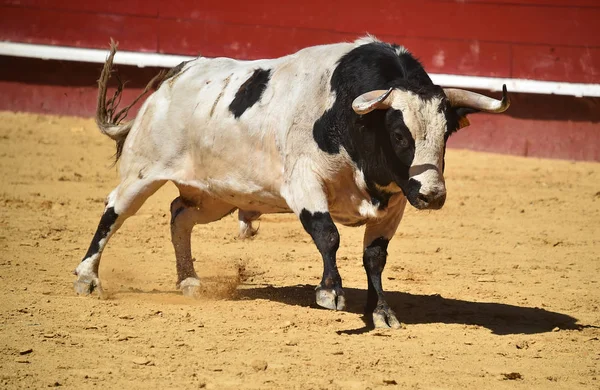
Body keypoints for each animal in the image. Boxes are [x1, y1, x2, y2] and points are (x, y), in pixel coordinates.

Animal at [72, 37, 508, 330]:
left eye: (447, 134)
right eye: (400, 136)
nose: (433, 195)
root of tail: (174, 77)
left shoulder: (394, 203)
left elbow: (375, 257)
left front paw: (381, 312)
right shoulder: (305, 183)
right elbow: (327, 234)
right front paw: (330, 292)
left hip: (216, 195)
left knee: (180, 215)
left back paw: (189, 281)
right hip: (143, 172)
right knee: (113, 212)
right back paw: (87, 278)